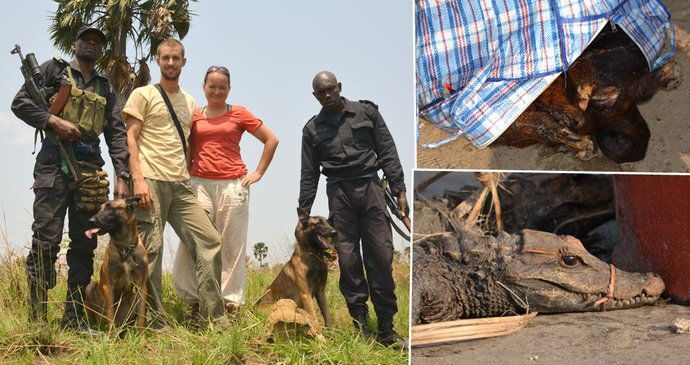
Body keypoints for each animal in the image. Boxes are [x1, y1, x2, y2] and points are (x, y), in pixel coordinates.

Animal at [83, 196, 148, 328]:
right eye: (100, 208)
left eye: (110, 208)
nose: (90, 221)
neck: (125, 247)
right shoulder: (109, 286)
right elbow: (110, 314)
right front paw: (111, 333)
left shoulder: (142, 286)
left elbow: (141, 319)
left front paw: (142, 334)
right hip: (90, 287)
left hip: (134, 298)